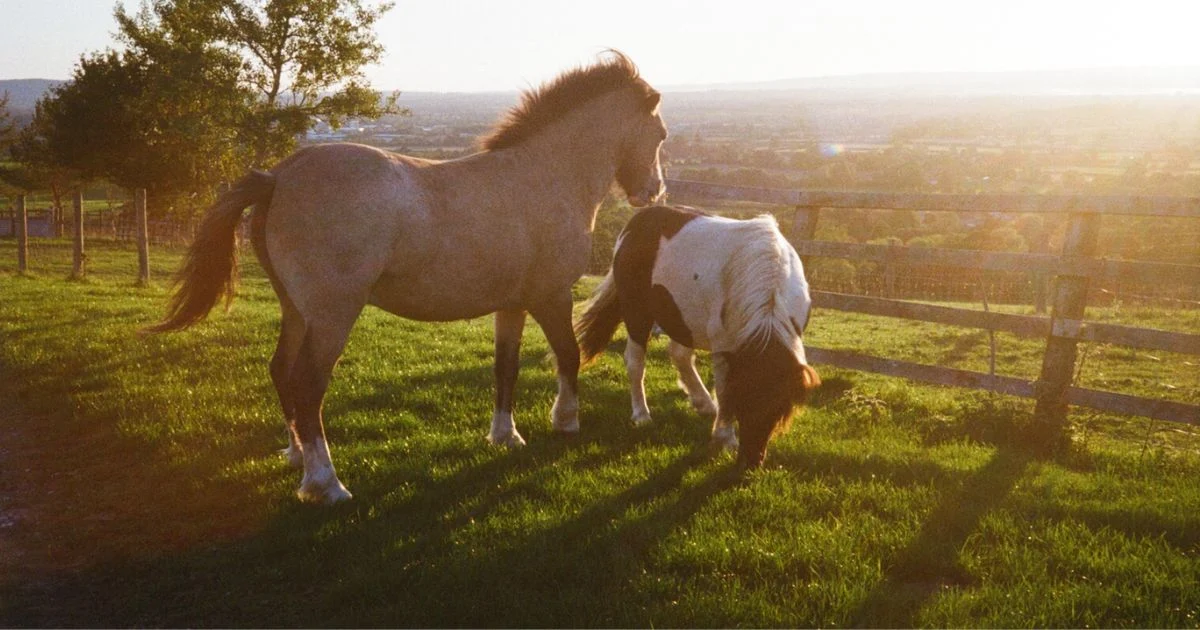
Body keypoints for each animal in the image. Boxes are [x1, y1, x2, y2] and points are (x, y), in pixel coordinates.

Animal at [146, 52, 668, 504]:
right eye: (661, 132)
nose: (654, 192)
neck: (544, 175)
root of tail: (279, 178)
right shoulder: (551, 296)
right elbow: (568, 355)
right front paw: (566, 422)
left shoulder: (512, 304)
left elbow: (506, 368)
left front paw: (506, 435)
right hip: (333, 315)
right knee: (307, 385)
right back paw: (326, 483)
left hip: (297, 310)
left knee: (281, 371)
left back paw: (297, 456)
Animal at [575, 206, 820, 468]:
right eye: (741, 402)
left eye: (778, 408)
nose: (750, 461)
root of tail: (639, 219)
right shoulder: (724, 346)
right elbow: (723, 389)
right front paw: (725, 438)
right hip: (637, 312)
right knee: (635, 362)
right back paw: (642, 415)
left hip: (681, 318)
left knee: (680, 355)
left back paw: (704, 404)